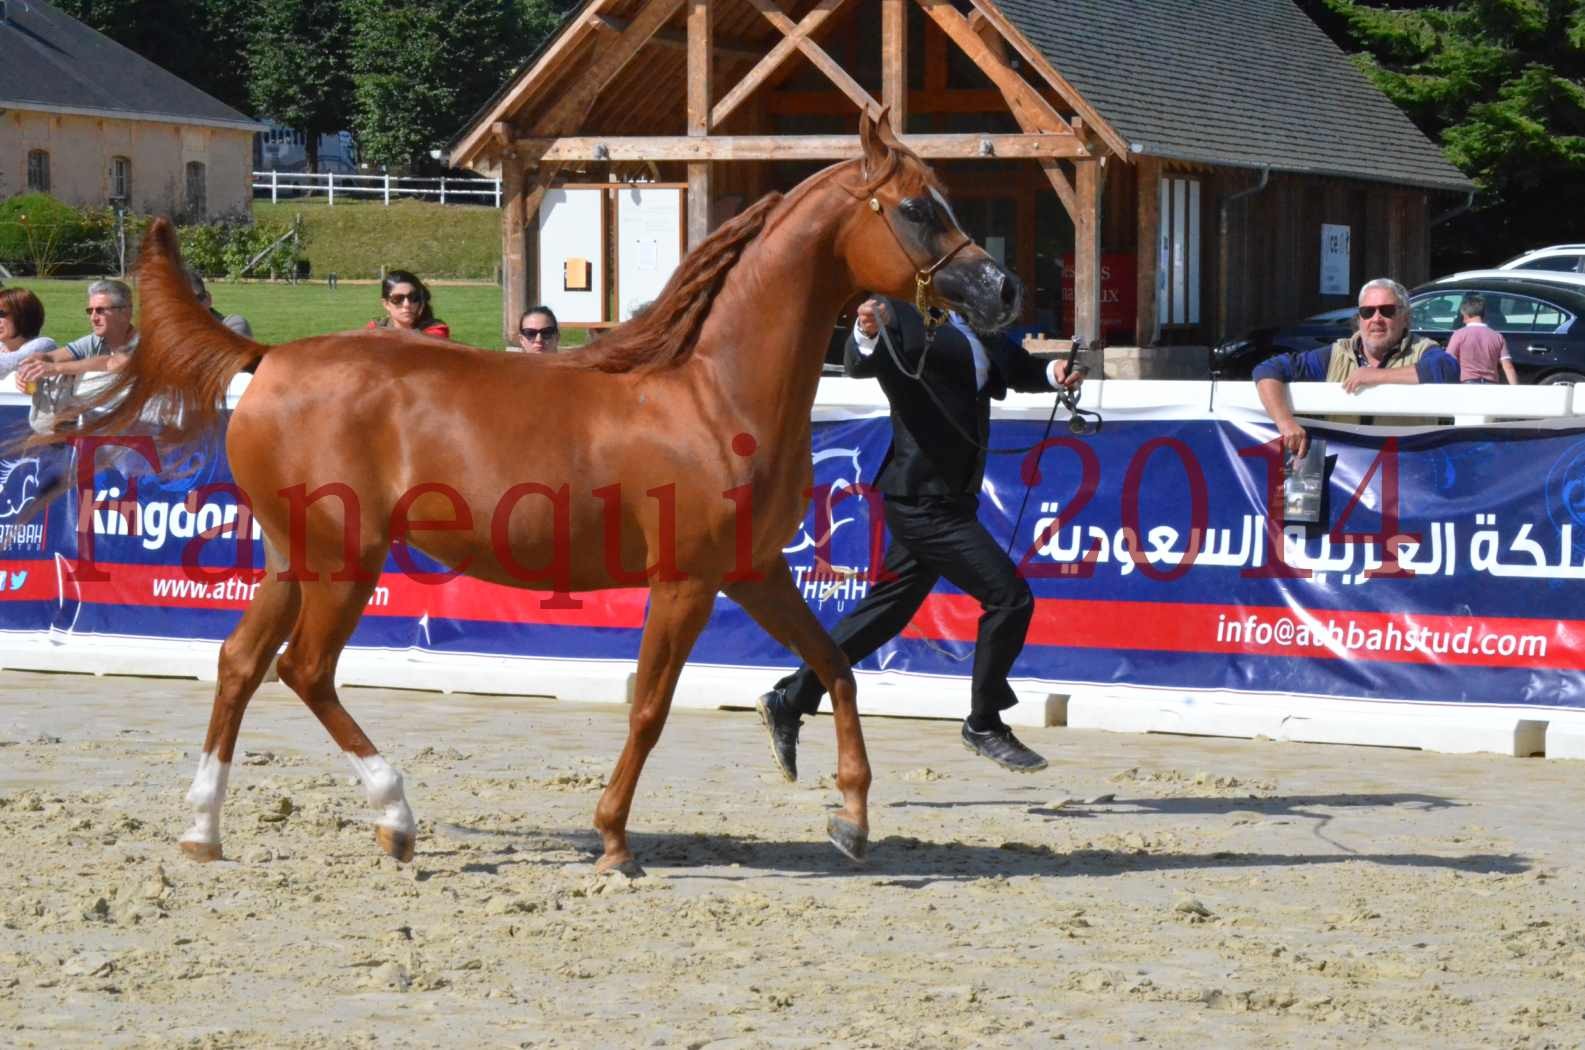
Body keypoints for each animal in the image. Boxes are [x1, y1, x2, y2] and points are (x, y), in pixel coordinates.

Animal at [86, 111, 1020, 875]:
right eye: (915, 208)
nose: (1000, 290)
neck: (714, 395)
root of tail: (270, 358)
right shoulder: (685, 583)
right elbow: (649, 707)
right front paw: (612, 841)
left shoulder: (755, 573)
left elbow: (835, 668)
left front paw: (852, 821)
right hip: (344, 560)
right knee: (303, 670)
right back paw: (396, 818)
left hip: (296, 558)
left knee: (240, 664)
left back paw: (203, 833)